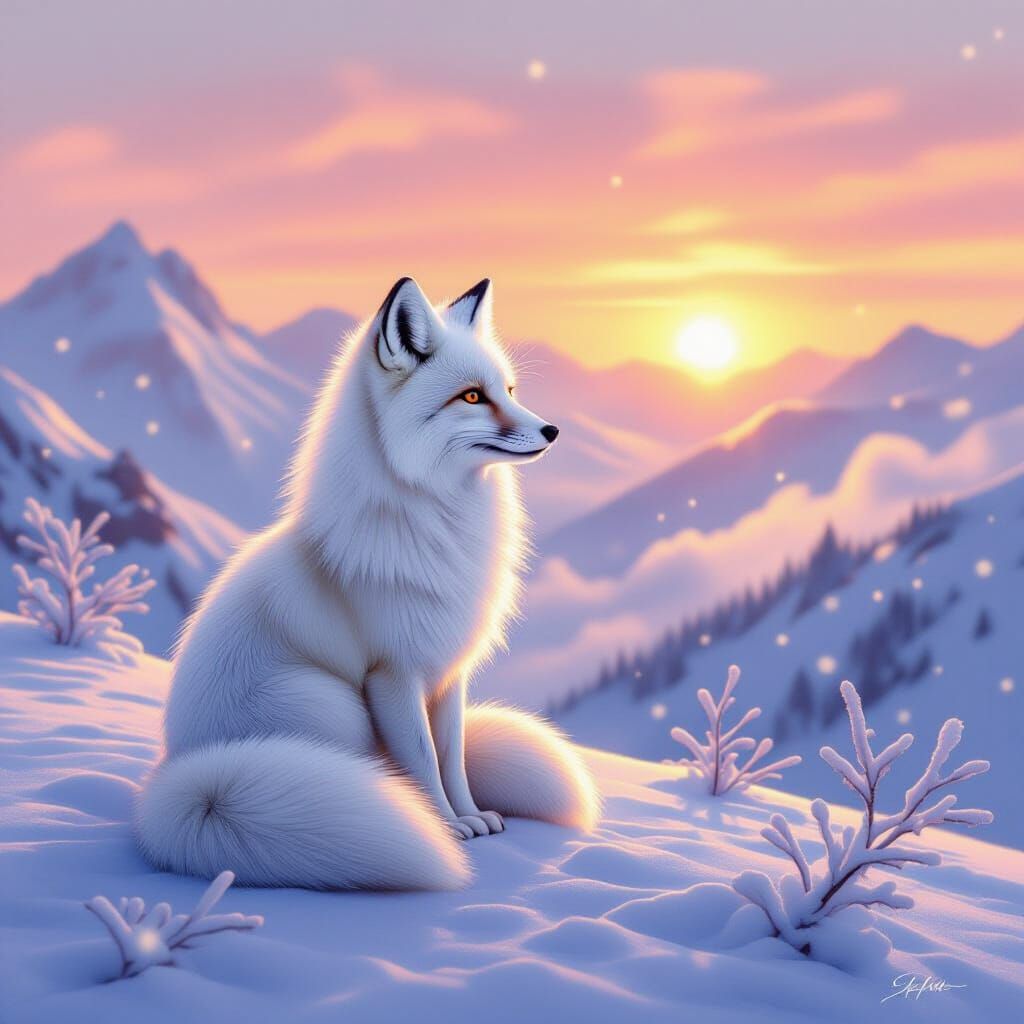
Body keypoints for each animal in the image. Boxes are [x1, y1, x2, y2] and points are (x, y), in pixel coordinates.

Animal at [136, 276, 599, 890]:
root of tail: (179, 780)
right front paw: (447, 828)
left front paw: (472, 816)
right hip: (332, 706)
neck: (437, 525)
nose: (552, 429)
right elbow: (423, 762)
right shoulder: (393, 674)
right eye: (472, 398)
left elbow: (452, 759)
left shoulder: (447, 672)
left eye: (508, 389)